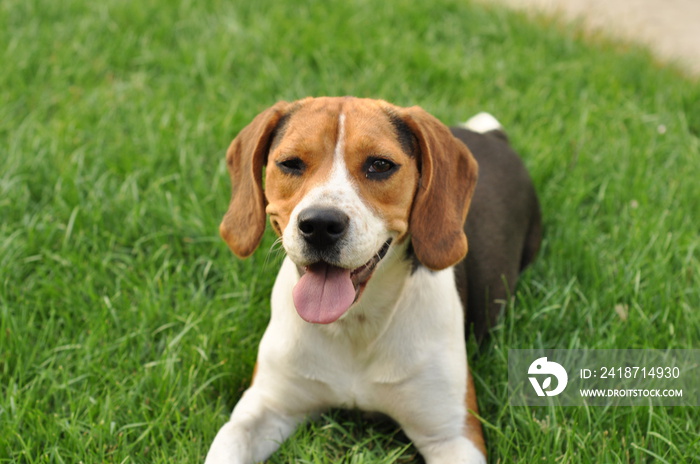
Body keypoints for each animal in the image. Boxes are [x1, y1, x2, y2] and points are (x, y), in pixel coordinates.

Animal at [204, 97, 540, 464]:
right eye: (290, 163)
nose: (320, 225)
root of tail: (490, 135)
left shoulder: (453, 436)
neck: (354, 323)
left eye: (379, 165)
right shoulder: (264, 408)